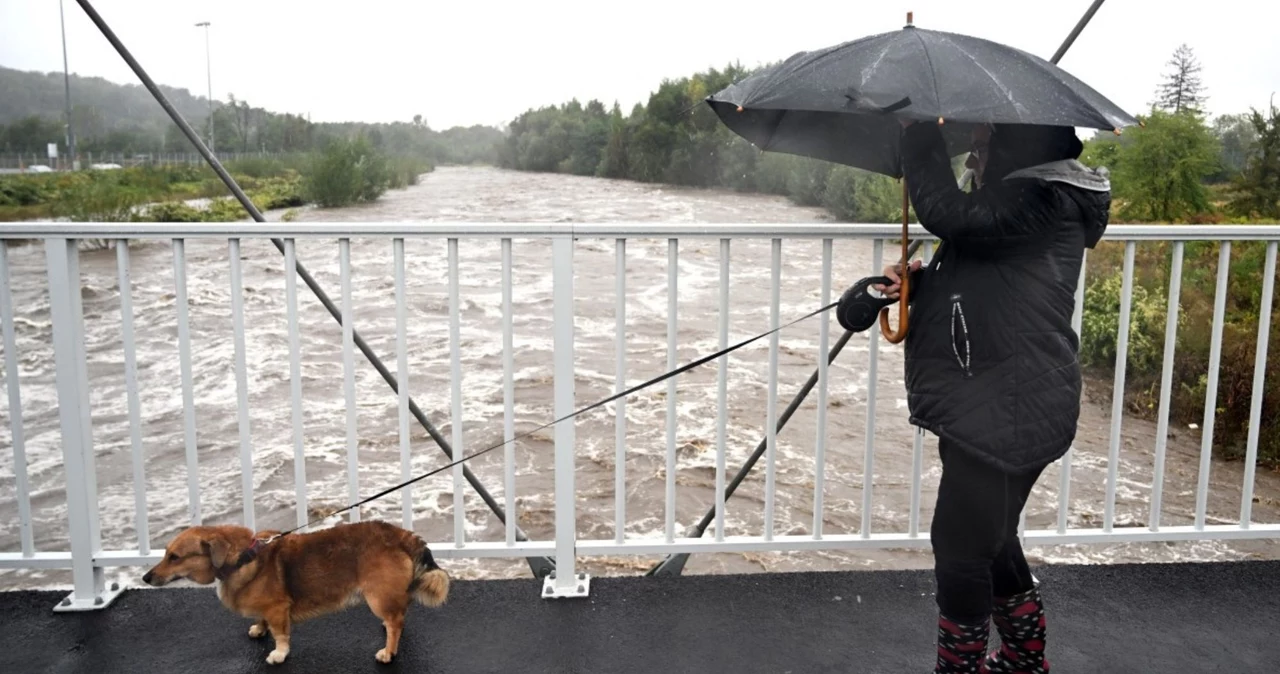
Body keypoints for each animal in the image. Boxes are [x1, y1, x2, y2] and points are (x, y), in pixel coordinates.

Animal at [140, 519, 448, 665]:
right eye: (165, 554)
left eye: (175, 557)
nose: (145, 577)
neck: (242, 558)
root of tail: (403, 536)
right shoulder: (266, 608)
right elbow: (262, 621)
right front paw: (258, 628)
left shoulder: (278, 609)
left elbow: (281, 636)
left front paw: (278, 654)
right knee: (399, 615)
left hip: (376, 596)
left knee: (396, 622)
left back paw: (388, 651)